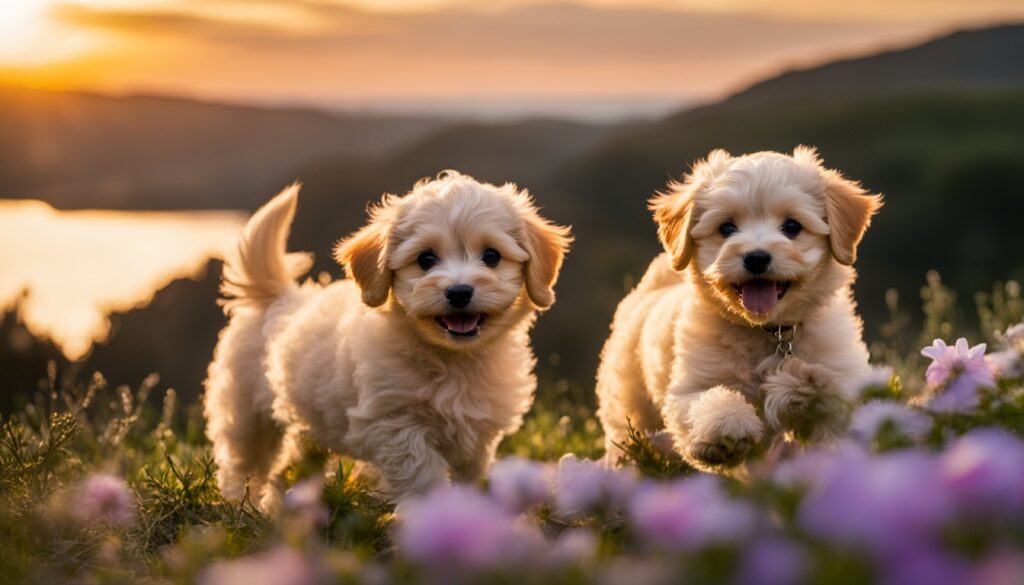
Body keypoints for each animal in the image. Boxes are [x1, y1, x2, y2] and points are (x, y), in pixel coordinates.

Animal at [199, 172, 569, 510]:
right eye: (425, 259)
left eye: (491, 256)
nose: (459, 291)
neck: (452, 360)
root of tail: (278, 296)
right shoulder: (392, 421)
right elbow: (421, 468)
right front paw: (428, 510)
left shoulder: (479, 431)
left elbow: (471, 470)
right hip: (245, 412)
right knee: (245, 461)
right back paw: (241, 502)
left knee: (291, 461)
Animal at [598, 146, 880, 471]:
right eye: (727, 228)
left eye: (792, 226)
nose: (756, 258)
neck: (769, 331)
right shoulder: (689, 386)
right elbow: (708, 400)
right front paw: (728, 424)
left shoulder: (840, 376)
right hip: (628, 404)